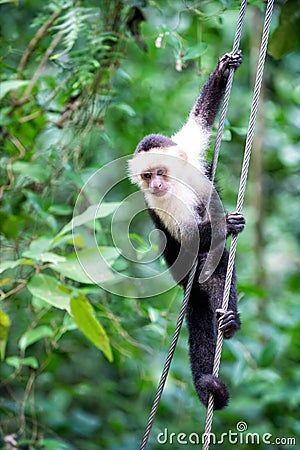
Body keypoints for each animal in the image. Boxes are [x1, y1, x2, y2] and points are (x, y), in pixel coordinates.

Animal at [127, 51, 245, 410]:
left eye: (160, 171)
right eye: (147, 176)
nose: (157, 183)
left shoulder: (185, 153)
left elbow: (200, 119)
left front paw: (222, 70)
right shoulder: (159, 202)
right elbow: (187, 238)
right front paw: (223, 224)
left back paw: (229, 321)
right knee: (208, 261)